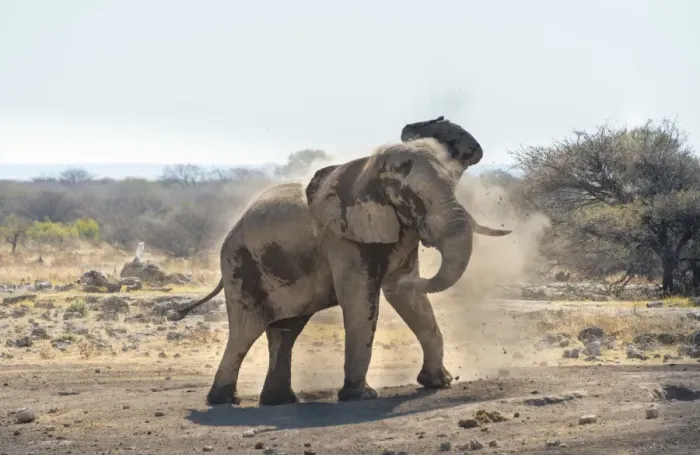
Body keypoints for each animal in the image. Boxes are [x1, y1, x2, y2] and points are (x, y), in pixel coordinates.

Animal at [170, 116, 512, 406]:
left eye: (453, 184)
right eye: (408, 196)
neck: (368, 168)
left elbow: (406, 298)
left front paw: (438, 383)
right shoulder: (342, 238)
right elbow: (361, 300)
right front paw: (361, 396)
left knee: (285, 330)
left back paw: (279, 401)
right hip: (241, 267)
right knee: (246, 330)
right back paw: (223, 401)